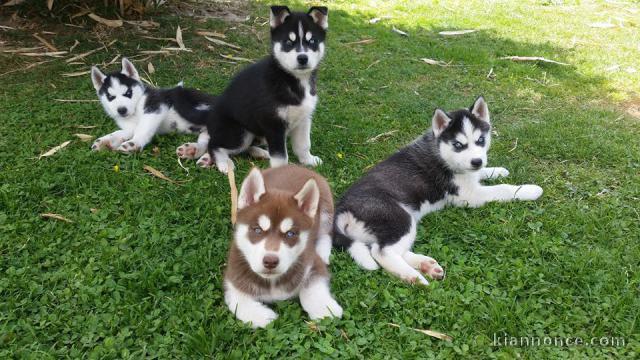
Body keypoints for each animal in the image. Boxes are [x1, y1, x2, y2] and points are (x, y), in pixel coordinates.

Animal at [196, 5, 330, 173]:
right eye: (288, 42)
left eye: (312, 41)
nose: (302, 58)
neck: (291, 79)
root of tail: (209, 117)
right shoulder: (273, 124)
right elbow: (281, 157)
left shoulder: (304, 118)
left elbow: (304, 144)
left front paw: (308, 160)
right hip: (240, 133)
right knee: (214, 144)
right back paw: (223, 163)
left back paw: (260, 153)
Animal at [226, 165, 344, 328]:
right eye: (257, 230)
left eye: (290, 233)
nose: (270, 261)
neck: (272, 281)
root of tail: (295, 166)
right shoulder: (233, 278)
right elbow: (238, 302)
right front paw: (264, 316)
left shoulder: (311, 262)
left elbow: (311, 288)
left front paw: (324, 309)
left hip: (326, 208)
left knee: (326, 234)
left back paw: (323, 251)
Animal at [332, 97, 544, 286]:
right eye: (458, 145)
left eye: (481, 140)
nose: (477, 161)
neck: (441, 152)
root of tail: (342, 209)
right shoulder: (468, 196)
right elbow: (502, 189)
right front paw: (530, 189)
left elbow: (482, 174)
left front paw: (497, 170)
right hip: (398, 217)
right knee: (381, 253)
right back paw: (414, 277)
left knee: (384, 248)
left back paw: (426, 265)